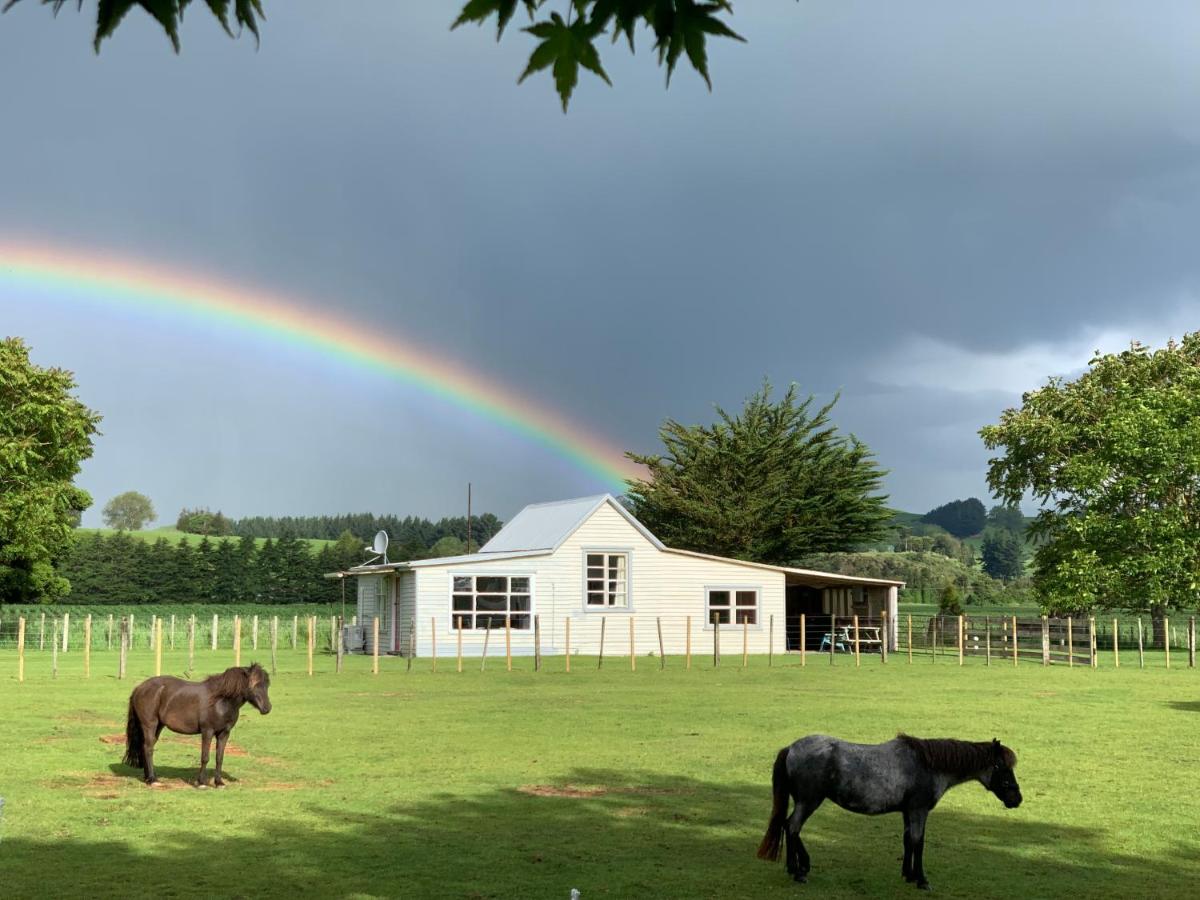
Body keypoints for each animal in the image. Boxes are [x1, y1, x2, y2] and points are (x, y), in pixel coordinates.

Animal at [121, 662, 272, 787]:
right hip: (150, 725)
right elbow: (205, 757)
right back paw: (153, 780)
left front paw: (219, 783)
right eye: (254, 684)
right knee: (148, 748)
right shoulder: (207, 731)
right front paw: (201, 783)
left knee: (145, 747)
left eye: (266, 685)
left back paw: (148, 778)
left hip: (158, 726)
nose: (267, 708)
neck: (220, 701)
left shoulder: (224, 733)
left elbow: (219, 757)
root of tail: (139, 688)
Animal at [758, 734, 1022, 892]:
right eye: (1001, 767)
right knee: (793, 827)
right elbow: (919, 842)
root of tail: (791, 748)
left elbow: (908, 841)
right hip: (809, 802)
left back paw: (800, 866)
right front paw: (921, 880)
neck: (927, 766)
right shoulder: (919, 811)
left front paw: (908, 874)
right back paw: (797, 871)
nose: (1017, 799)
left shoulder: (908, 812)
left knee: (789, 827)